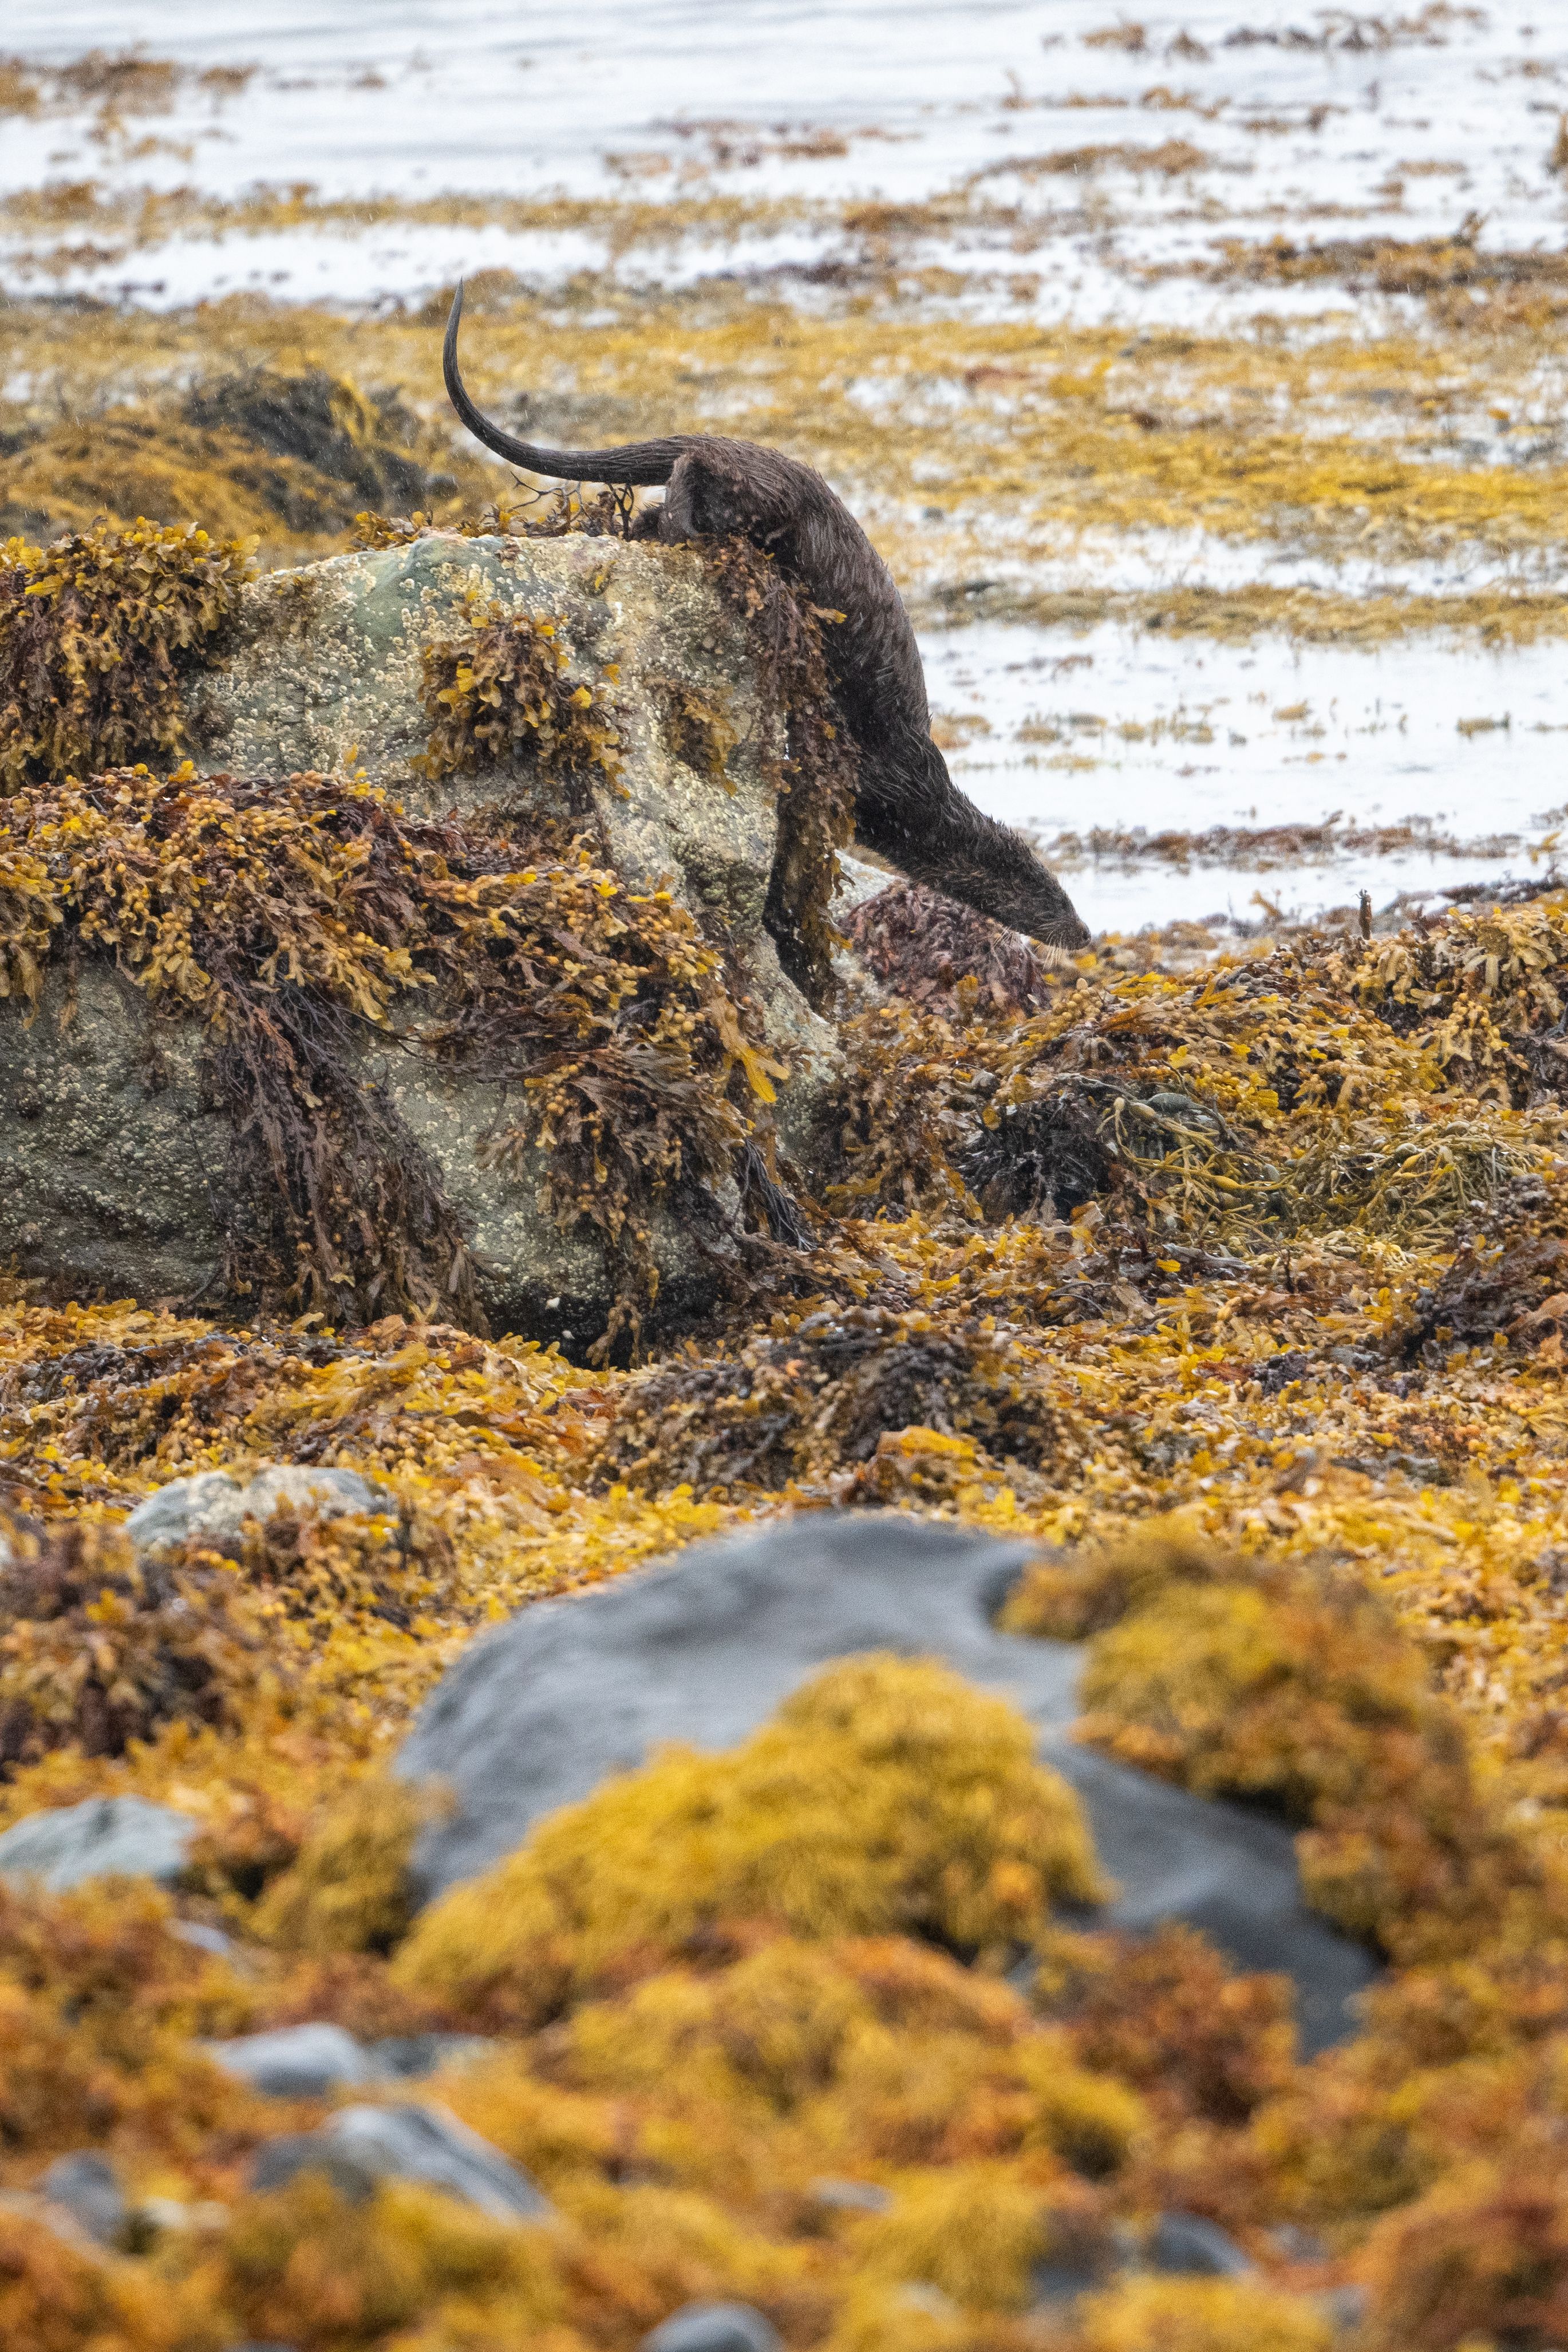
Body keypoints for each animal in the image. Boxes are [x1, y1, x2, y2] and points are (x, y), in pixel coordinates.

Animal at [443, 283, 1090, 953]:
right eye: (1051, 899)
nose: (1086, 933)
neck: (915, 801)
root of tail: (738, 445)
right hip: (762, 494)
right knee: (691, 470)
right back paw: (676, 526)